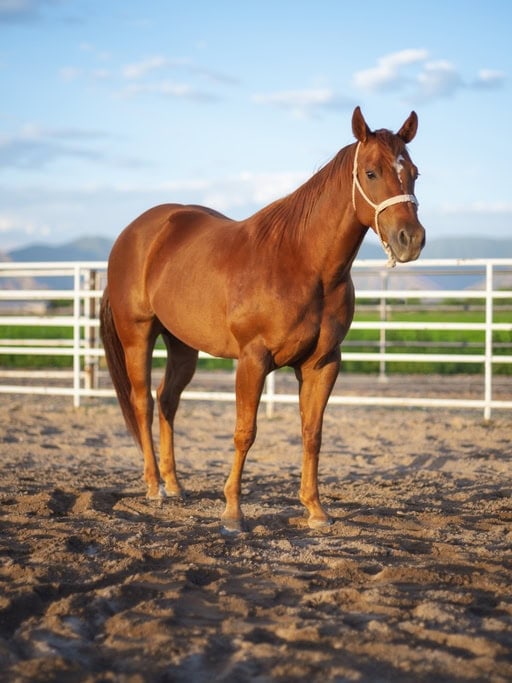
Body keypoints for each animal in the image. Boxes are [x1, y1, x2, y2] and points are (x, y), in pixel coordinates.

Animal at [100, 106, 425, 533]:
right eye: (371, 172)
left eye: (414, 172)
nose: (411, 239)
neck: (302, 262)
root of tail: (132, 234)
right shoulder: (253, 360)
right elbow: (245, 433)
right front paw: (232, 513)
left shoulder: (323, 363)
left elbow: (312, 433)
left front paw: (315, 509)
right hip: (137, 335)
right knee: (143, 403)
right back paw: (155, 487)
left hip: (183, 345)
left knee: (167, 400)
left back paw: (175, 485)